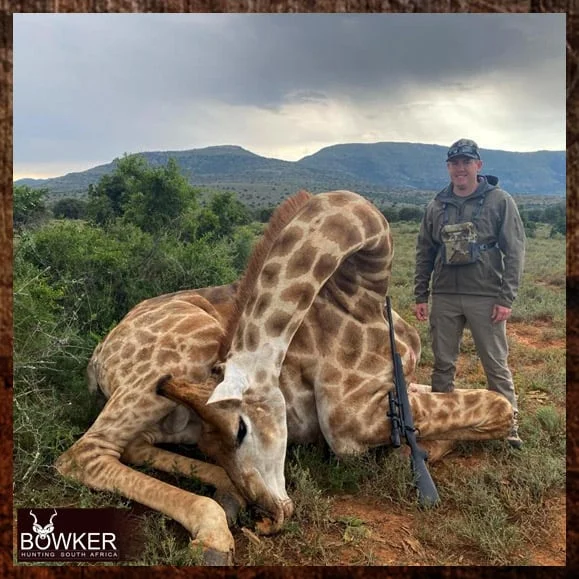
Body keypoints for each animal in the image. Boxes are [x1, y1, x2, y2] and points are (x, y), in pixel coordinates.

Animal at [54, 189, 512, 568]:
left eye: (240, 430)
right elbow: (499, 405)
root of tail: (98, 357)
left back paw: (226, 496)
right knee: (83, 454)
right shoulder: (350, 422)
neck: (362, 292)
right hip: (184, 352)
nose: (268, 515)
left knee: (132, 446)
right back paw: (215, 531)